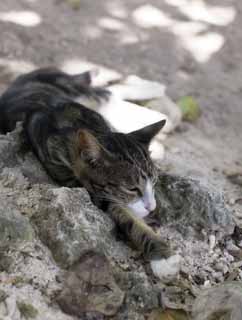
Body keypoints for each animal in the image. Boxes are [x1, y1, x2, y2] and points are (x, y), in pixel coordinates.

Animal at [0, 68, 180, 280]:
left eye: (154, 182)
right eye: (131, 188)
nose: (152, 207)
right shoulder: (77, 183)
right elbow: (123, 214)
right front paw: (163, 255)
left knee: (106, 91)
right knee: (108, 94)